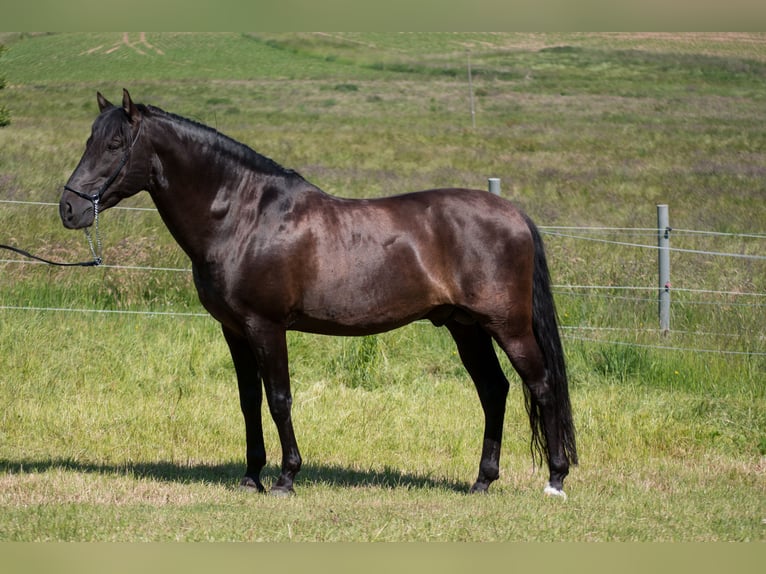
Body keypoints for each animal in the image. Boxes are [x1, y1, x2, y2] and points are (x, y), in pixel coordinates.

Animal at [60, 90, 580, 500]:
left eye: (113, 145)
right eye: (88, 141)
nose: (68, 208)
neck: (245, 217)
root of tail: (513, 213)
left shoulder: (266, 327)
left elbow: (279, 398)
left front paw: (286, 478)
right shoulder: (234, 330)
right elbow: (248, 401)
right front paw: (250, 477)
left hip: (508, 326)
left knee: (542, 386)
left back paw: (555, 480)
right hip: (465, 327)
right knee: (494, 390)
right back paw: (482, 481)